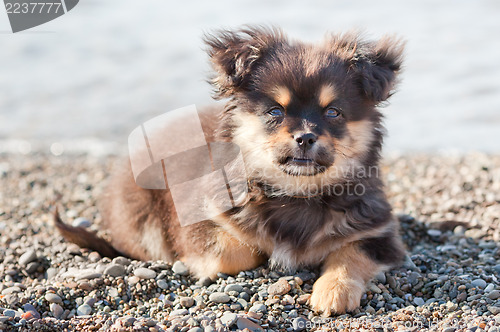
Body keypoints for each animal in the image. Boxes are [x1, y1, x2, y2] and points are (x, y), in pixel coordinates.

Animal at [55, 26, 406, 316]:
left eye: (333, 112)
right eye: (275, 112)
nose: (305, 137)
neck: (295, 194)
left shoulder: (377, 231)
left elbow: (351, 254)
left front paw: (334, 291)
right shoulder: (196, 218)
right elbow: (234, 252)